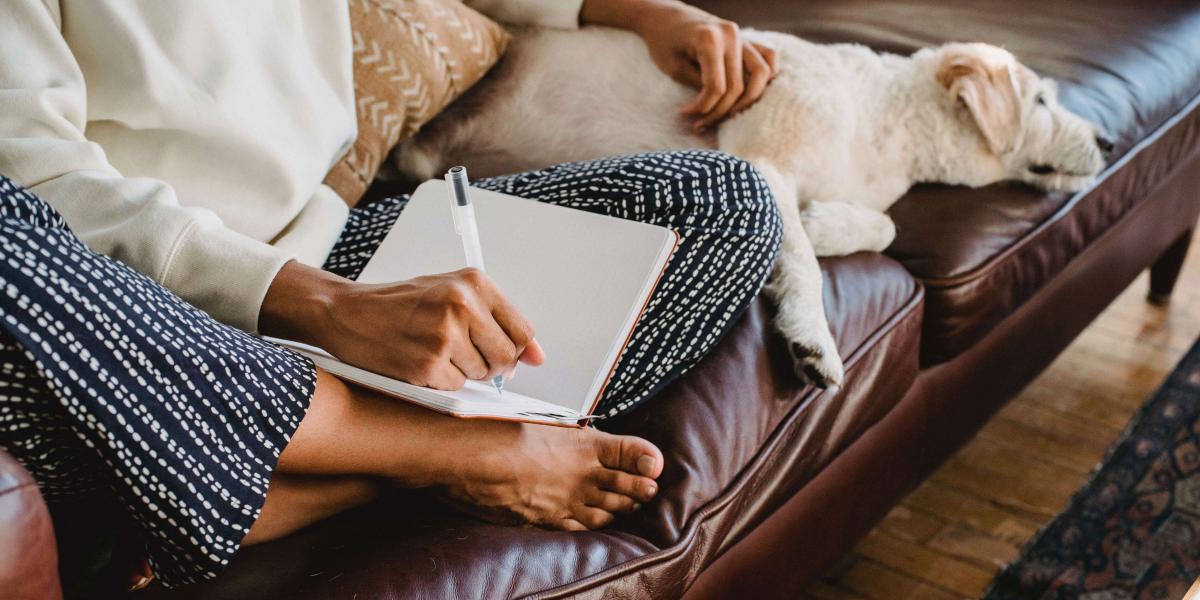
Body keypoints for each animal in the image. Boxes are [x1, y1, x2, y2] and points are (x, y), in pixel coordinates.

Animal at [398, 27, 1108, 388]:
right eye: (1041, 102)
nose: (1106, 139)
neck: (886, 120)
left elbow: (882, 224)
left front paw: (825, 224)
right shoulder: (765, 165)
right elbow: (805, 266)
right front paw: (812, 337)